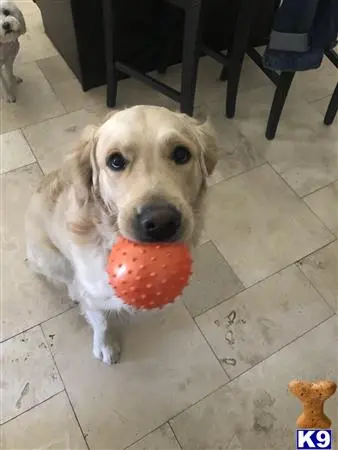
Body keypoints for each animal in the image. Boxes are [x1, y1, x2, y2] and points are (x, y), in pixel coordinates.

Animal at [25, 106, 218, 366]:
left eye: (181, 154)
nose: (160, 223)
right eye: (115, 161)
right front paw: (105, 345)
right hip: (49, 258)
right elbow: (101, 322)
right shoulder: (94, 295)